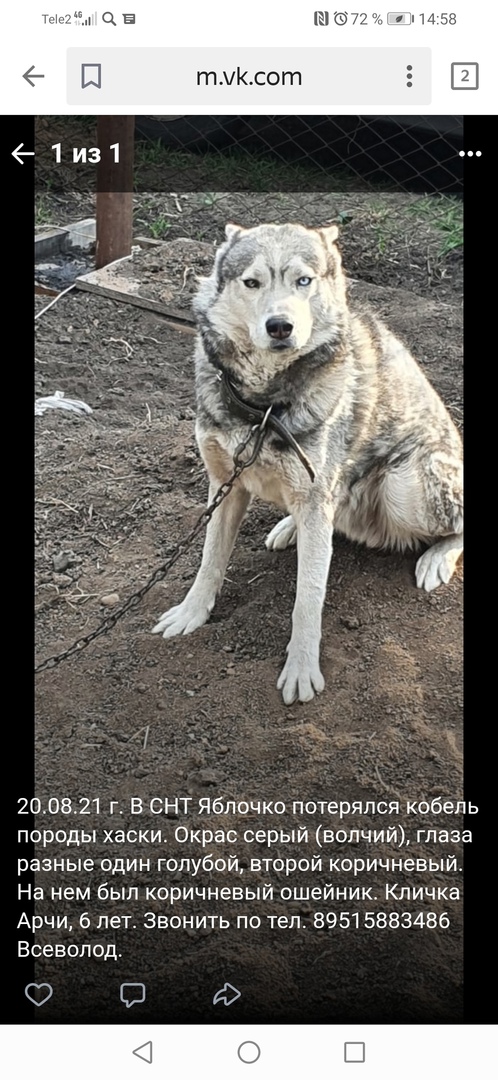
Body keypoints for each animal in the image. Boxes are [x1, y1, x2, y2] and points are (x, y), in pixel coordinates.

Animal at [152, 222, 463, 704]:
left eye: (304, 281)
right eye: (252, 282)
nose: (280, 326)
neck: (264, 406)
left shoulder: (312, 498)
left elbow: (307, 599)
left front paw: (301, 669)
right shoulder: (224, 484)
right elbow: (209, 560)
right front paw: (190, 613)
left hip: (402, 487)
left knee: (455, 525)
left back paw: (436, 559)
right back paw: (289, 527)